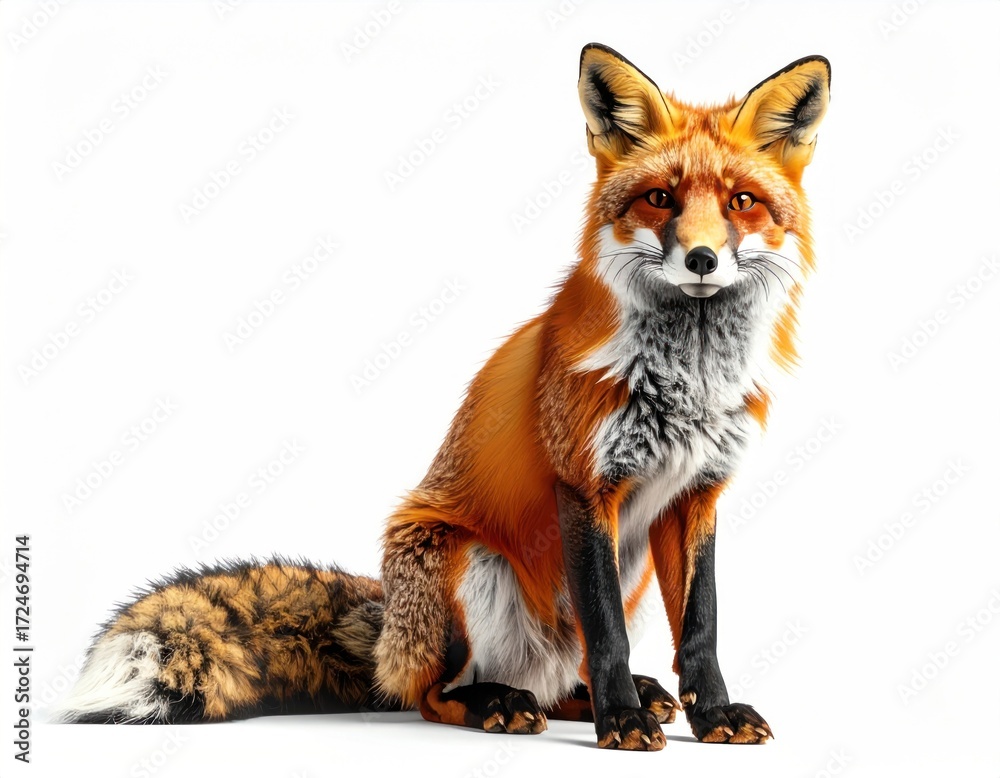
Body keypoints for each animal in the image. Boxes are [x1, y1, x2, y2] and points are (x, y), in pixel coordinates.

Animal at [58, 44, 830, 751]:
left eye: (741, 202)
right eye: (660, 198)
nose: (701, 259)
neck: (688, 378)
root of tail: (386, 631)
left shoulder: (697, 493)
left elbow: (702, 626)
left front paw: (712, 714)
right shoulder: (584, 484)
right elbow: (607, 628)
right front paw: (622, 723)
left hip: (621, 569)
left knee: (563, 676)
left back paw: (599, 697)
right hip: (464, 560)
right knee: (435, 694)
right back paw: (504, 702)